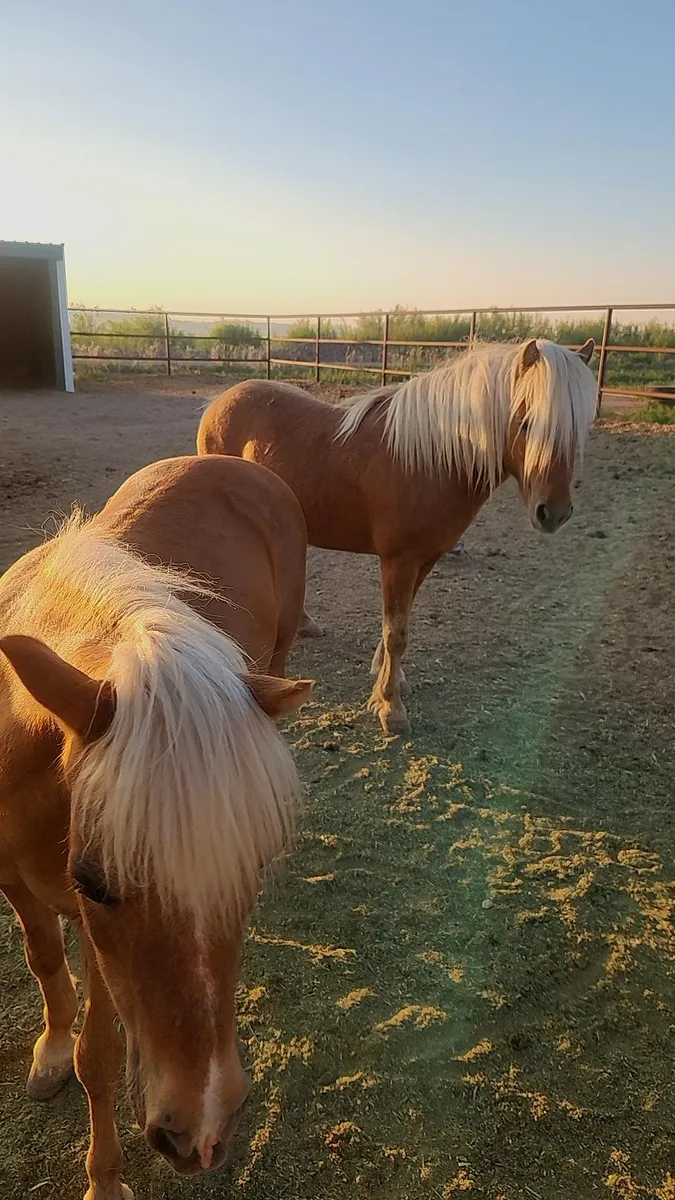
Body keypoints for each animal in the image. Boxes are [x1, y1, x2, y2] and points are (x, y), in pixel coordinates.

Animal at [0, 455, 312, 1200]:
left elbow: (102, 1055)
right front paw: (50, 1051)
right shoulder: (20, 884)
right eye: (94, 882)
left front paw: (104, 1181)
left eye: (253, 871)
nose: (201, 1134)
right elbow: (42, 960)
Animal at [197, 337, 597, 736]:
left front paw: (390, 681)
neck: (433, 456)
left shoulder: (425, 559)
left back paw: (307, 624)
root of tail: (220, 401)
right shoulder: (399, 560)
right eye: (527, 423)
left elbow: (398, 627)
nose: (553, 512)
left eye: (579, 428)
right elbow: (396, 633)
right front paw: (391, 707)